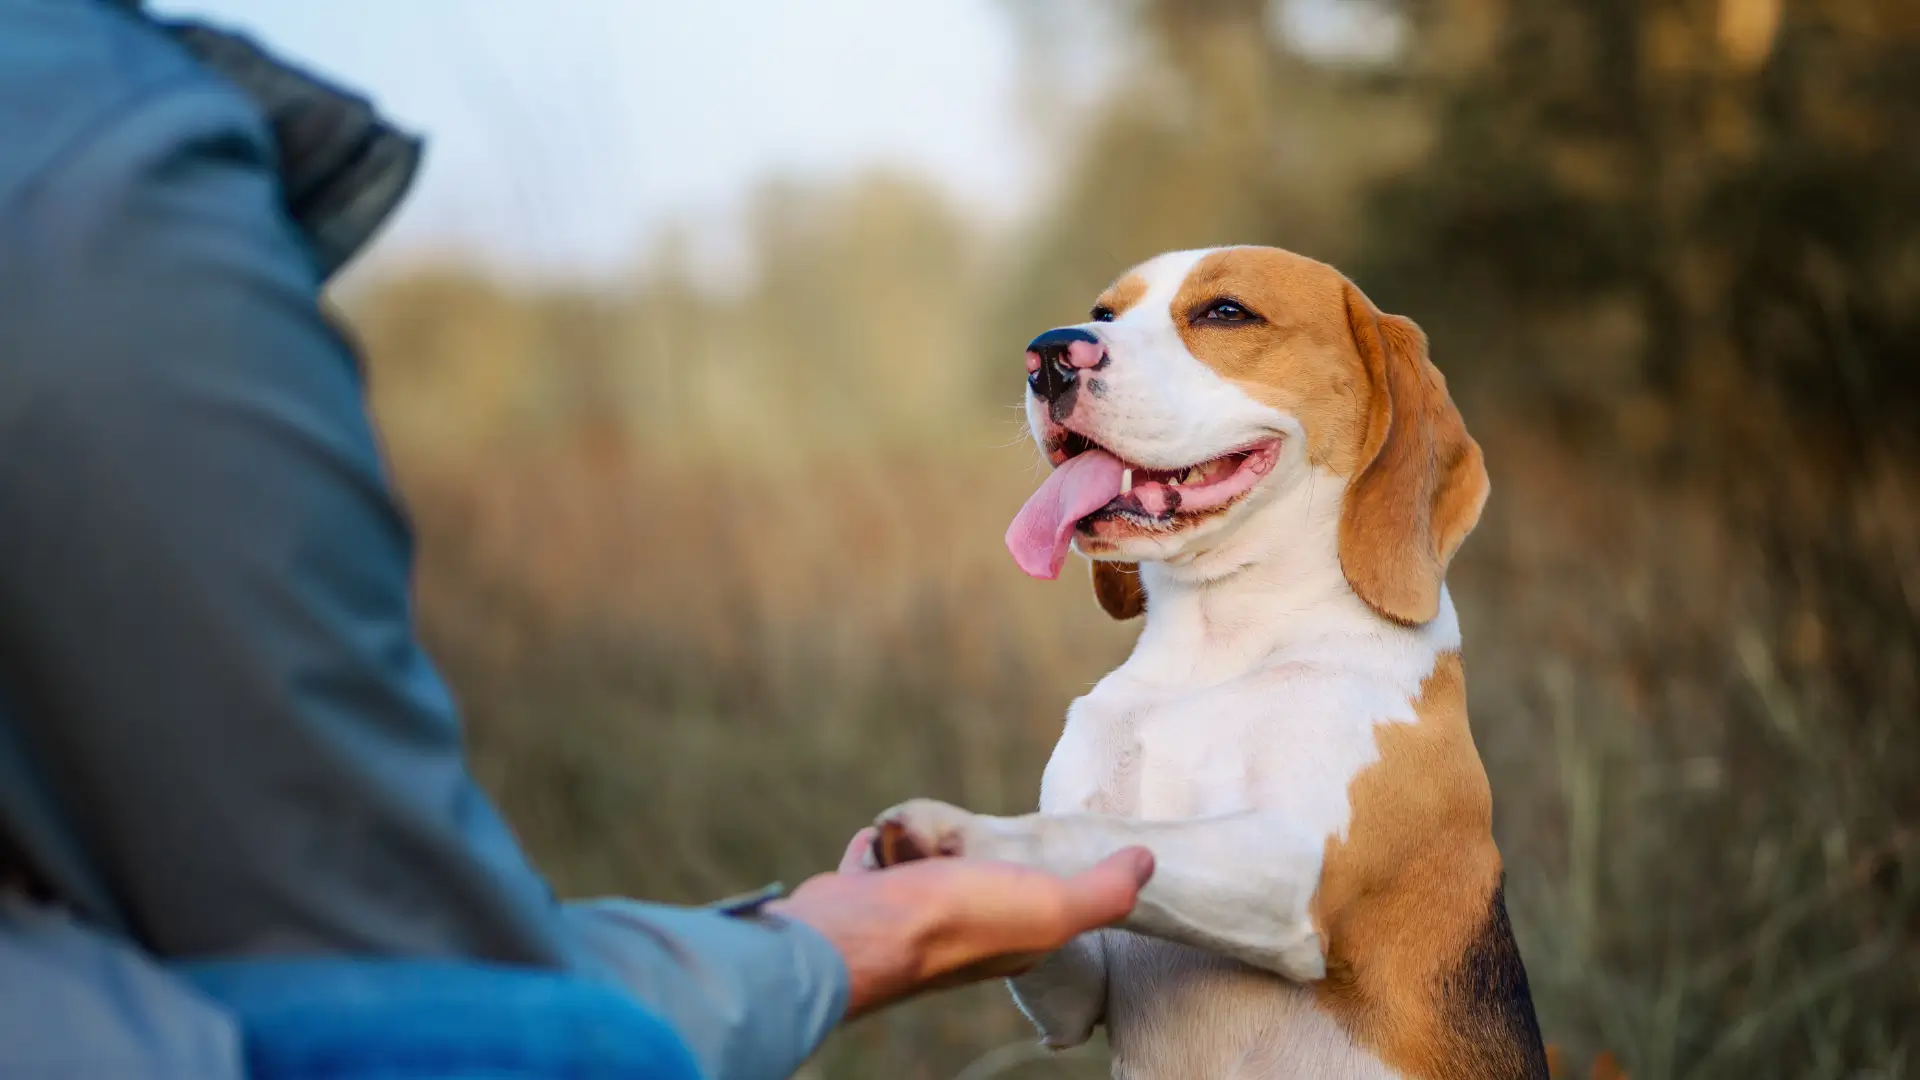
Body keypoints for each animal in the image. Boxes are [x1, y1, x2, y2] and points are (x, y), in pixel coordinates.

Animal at [867, 245, 1543, 1076]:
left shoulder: (1290, 868)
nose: (1048, 355)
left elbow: (1095, 835)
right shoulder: (1077, 993)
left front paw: (960, 836)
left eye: (1226, 312)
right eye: (1103, 314)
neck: (1218, 645)